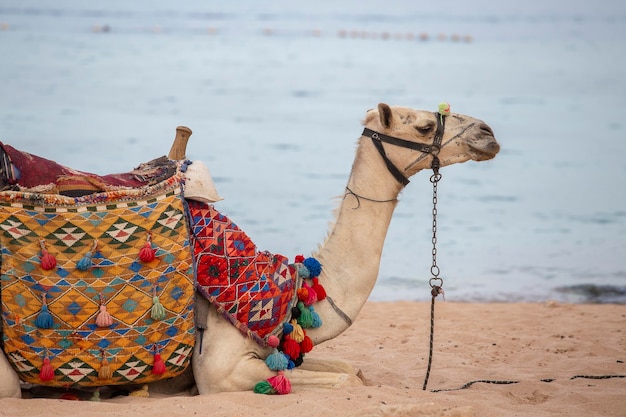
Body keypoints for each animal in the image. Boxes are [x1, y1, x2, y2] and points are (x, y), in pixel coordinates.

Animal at [0, 103, 498, 396]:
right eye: (426, 125)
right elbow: (341, 380)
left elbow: (353, 371)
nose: (488, 133)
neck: (295, 290)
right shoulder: (218, 369)